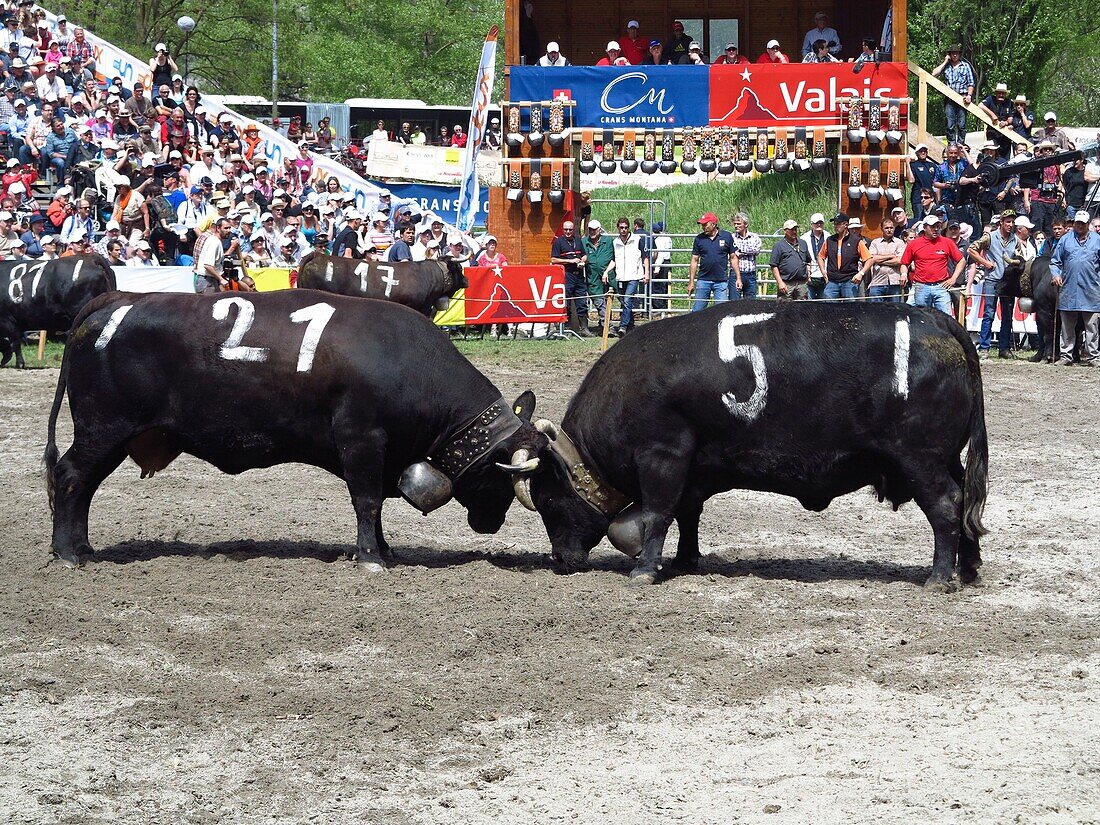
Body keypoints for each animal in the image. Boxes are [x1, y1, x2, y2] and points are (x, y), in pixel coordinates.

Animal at [46, 288, 545, 567]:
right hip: (103, 430)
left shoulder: (381, 457)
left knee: (80, 485)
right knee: (71, 477)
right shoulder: (362, 443)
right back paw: (69, 553)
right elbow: (366, 502)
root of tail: (119, 300)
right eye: (503, 474)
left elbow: (376, 508)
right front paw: (370, 559)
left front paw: (383, 550)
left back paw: (82, 547)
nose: (493, 524)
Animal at [510, 303, 994, 594]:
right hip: (947, 459)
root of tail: (938, 321)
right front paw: (685, 561)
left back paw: (939, 577)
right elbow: (688, 515)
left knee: (947, 506)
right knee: (967, 503)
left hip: (920, 460)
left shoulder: (663, 457)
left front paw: (645, 569)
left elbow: (658, 514)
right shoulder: (693, 470)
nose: (560, 559)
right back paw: (967, 569)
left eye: (548, 499)